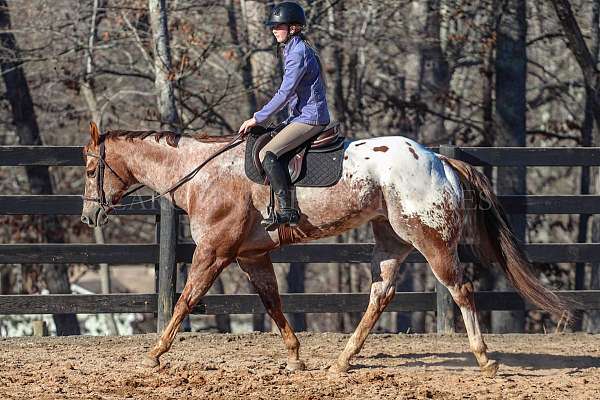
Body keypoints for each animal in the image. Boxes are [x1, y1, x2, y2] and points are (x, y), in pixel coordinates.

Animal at [81, 122, 572, 378]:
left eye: (89, 168)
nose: (89, 217)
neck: (203, 173)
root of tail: (440, 160)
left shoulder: (214, 252)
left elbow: (186, 299)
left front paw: (155, 352)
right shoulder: (251, 256)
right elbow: (273, 303)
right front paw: (296, 356)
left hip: (431, 241)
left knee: (461, 291)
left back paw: (485, 359)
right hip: (390, 240)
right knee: (381, 294)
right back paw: (342, 360)